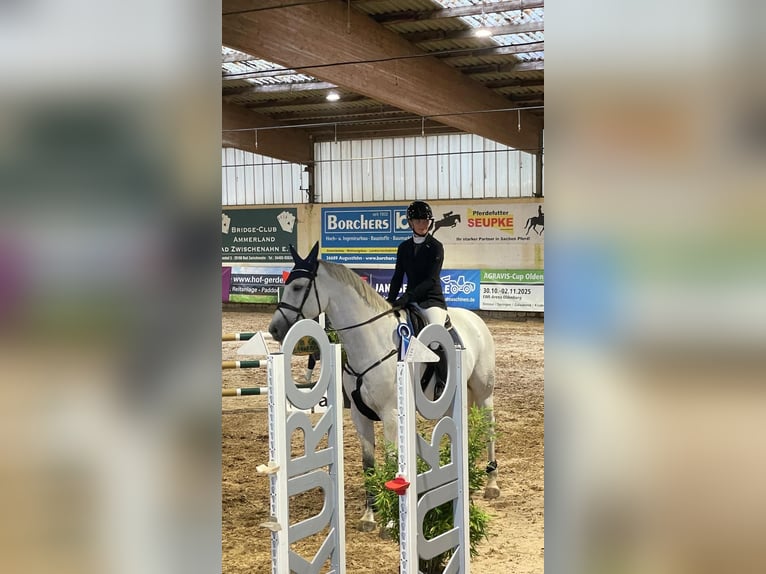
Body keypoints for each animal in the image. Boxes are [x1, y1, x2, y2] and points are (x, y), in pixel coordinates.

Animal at [268, 242, 499, 532]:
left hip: (483, 392)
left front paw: (390, 521)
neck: (371, 342)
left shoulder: (390, 414)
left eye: (298, 287)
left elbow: (390, 460)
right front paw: (369, 516)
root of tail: (474, 319)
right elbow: (368, 464)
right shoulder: (360, 415)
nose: (274, 328)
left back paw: (491, 482)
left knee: (489, 428)